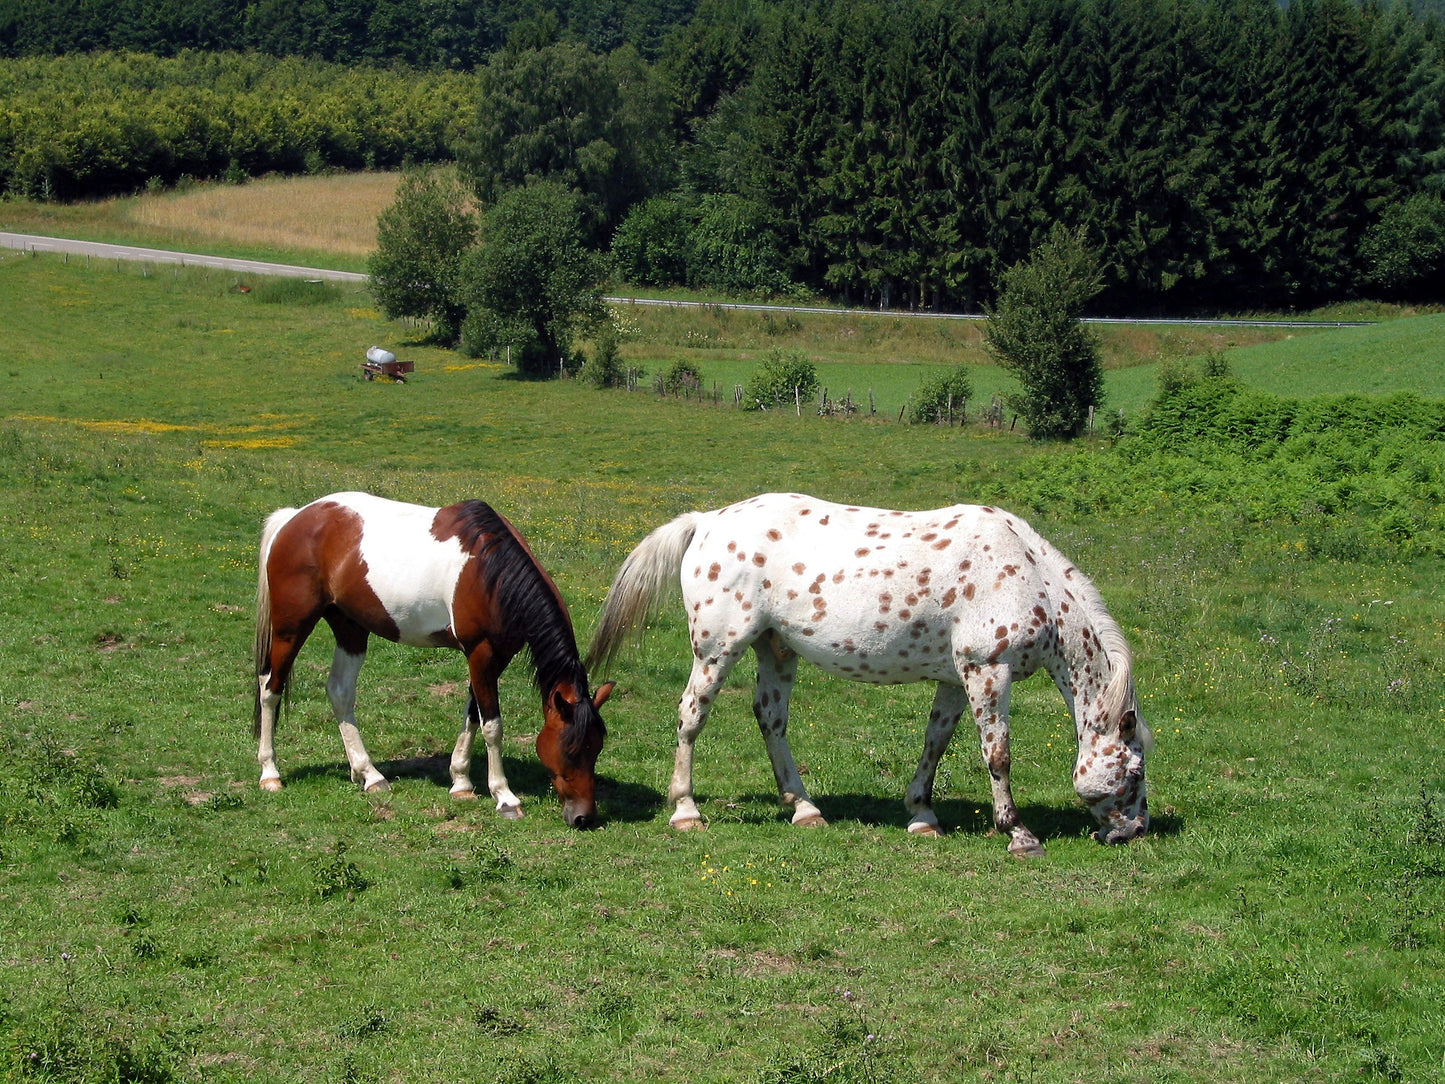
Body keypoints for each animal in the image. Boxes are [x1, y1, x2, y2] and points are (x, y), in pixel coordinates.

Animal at [255, 494, 615, 832]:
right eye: (570, 751)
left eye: (597, 748)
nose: (583, 817)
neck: (491, 573)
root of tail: (294, 518)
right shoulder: (481, 653)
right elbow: (492, 725)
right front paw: (504, 797)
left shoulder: (495, 656)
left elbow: (473, 715)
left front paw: (461, 782)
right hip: (291, 627)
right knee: (270, 689)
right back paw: (270, 773)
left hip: (350, 627)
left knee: (340, 691)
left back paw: (368, 774)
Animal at [586, 491, 1150, 855]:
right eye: (1135, 772)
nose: (1135, 831)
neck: (1029, 575)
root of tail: (705, 521)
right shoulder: (988, 670)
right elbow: (998, 754)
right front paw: (1018, 833)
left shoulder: (955, 678)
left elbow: (936, 743)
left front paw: (921, 815)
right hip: (717, 649)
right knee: (691, 717)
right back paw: (686, 811)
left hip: (776, 649)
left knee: (770, 719)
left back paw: (804, 808)